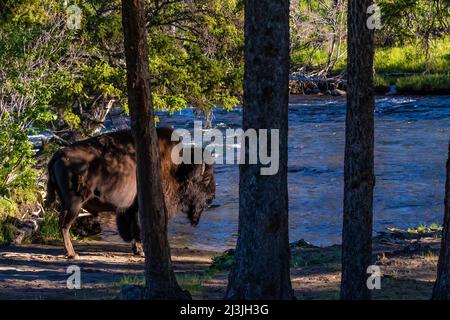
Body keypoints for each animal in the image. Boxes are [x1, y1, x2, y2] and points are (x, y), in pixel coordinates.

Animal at [46, 126, 215, 258]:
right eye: (206, 179)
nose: (211, 198)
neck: (177, 168)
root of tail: (57, 155)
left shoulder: (129, 209)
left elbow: (131, 229)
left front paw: (137, 250)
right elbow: (138, 229)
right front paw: (141, 251)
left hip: (65, 202)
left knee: (62, 223)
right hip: (74, 204)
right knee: (64, 225)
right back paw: (72, 254)